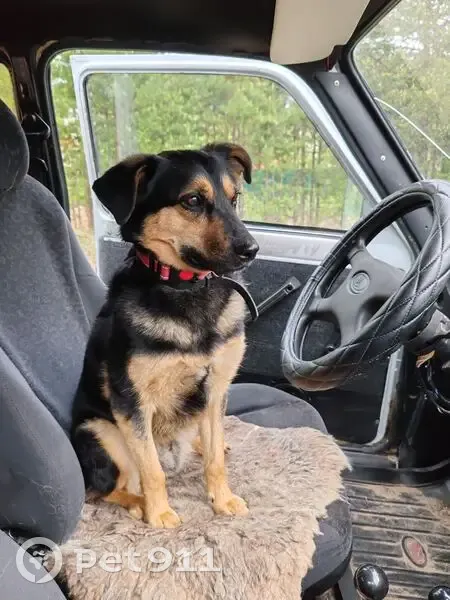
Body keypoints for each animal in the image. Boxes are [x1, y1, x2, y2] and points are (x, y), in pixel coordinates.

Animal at [71, 143, 259, 528]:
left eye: (234, 198)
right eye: (192, 200)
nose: (252, 250)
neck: (188, 288)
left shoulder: (215, 391)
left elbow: (215, 461)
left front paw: (222, 500)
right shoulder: (131, 402)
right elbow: (152, 471)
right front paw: (158, 513)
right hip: (102, 432)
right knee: (109, 488)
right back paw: (137, 503)